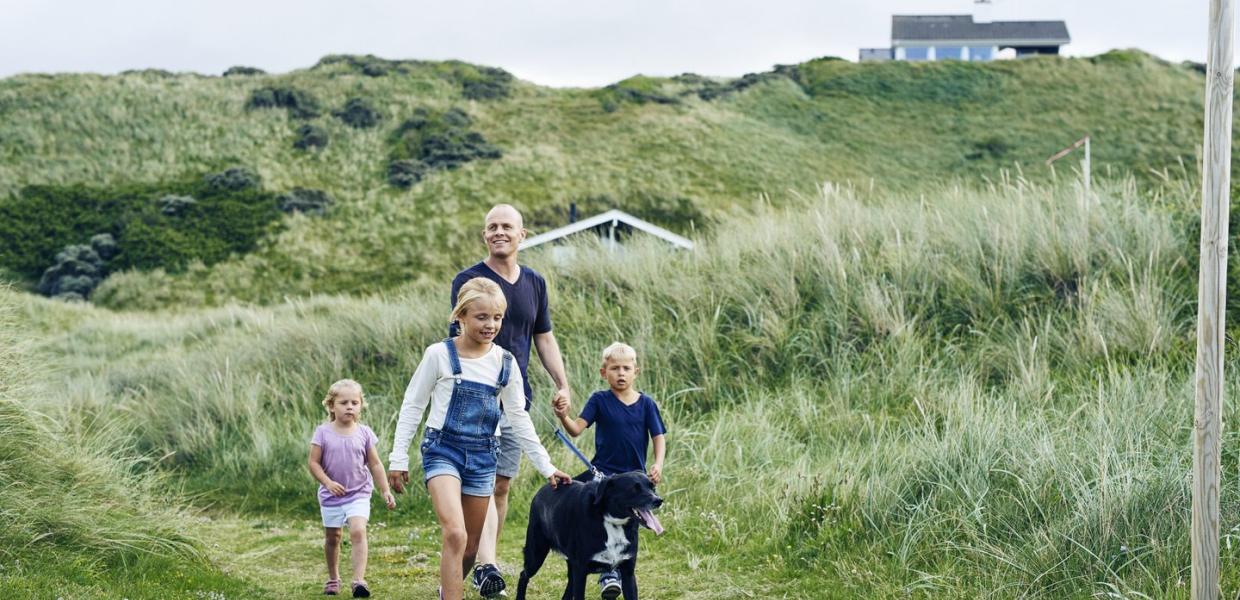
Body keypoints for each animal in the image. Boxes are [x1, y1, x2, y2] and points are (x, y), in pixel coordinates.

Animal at [515, 471, 664, 597]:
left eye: (652, 487)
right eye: (634, 489)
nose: (658, 500)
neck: (611, 521)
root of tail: (543, 489)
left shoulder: (628, 573)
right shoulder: (581, 571)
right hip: (536, 554)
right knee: (523, 575)